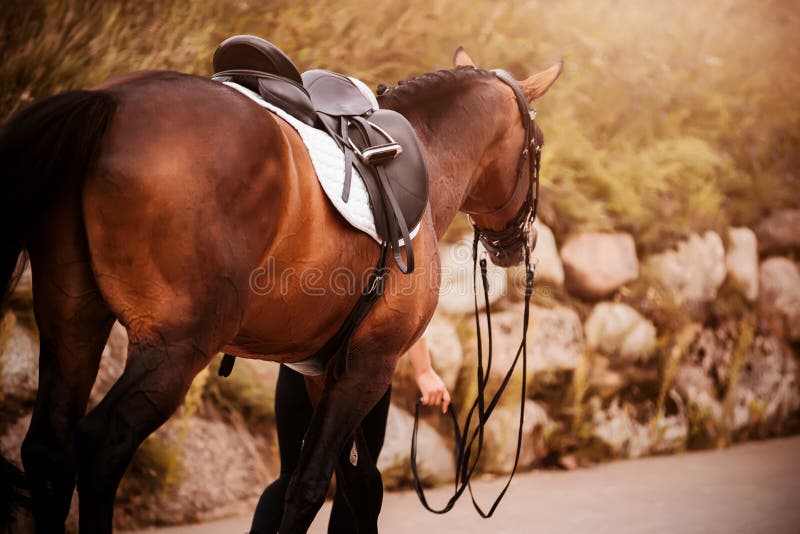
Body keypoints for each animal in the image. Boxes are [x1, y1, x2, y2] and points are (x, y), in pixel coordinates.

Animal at [1, 47, 564, 534]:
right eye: (537, 146)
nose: (522, 242)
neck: (422, 152)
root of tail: (112, 101)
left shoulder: (324, 371)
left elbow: (356, 486)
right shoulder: (370, 366)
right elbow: (313, 486)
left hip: (73, 322)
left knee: (49, 451)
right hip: (174, 349)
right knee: (102, 447)